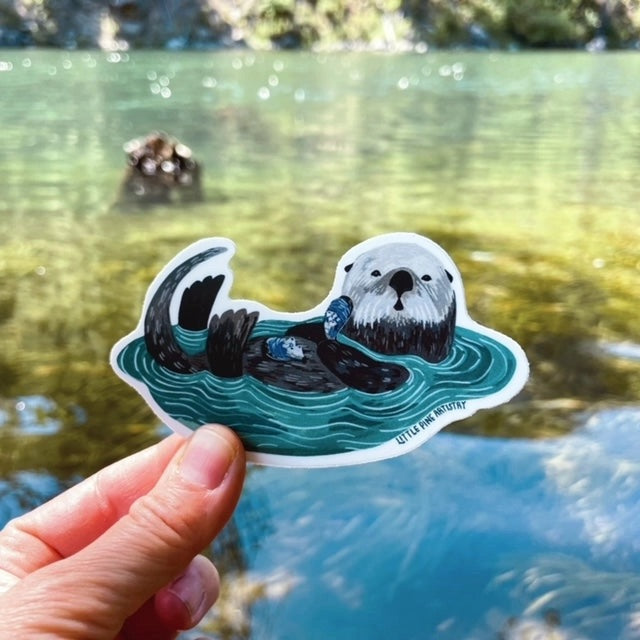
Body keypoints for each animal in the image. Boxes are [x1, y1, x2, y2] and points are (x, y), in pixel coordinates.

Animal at [143, 241, 456, 394]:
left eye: (426, 277)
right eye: (376, 272)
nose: (402, 277)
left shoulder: (413, 364)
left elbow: (388, 374)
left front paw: (331, 345)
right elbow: (302, 329)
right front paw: (321, 334)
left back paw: (229, 325)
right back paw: (207, 297)